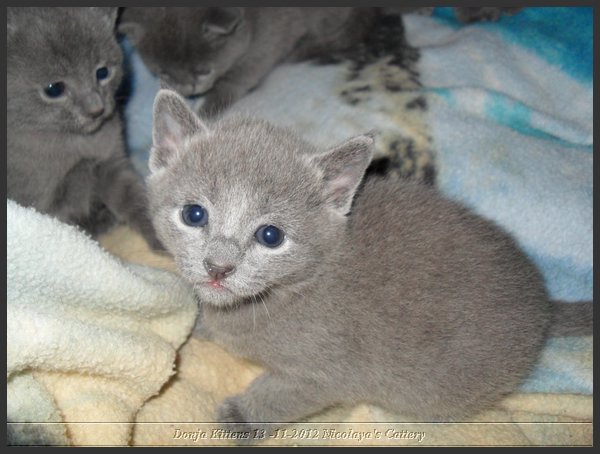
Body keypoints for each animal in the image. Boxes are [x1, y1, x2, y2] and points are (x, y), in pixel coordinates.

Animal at [7, 7, 162, 248]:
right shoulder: (39, 202)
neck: (74, 144)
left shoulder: (111, 163)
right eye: (54, 89)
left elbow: (133, 195)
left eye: (102, 72)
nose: (96, 109)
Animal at [146, 89, 592, 440]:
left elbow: (282, 394)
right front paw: (196, 320)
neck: (290, 290)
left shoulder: (327, 371)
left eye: (270, 236)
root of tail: (545, 305)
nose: (218, 267)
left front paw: (241, 417)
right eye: (194, 215)